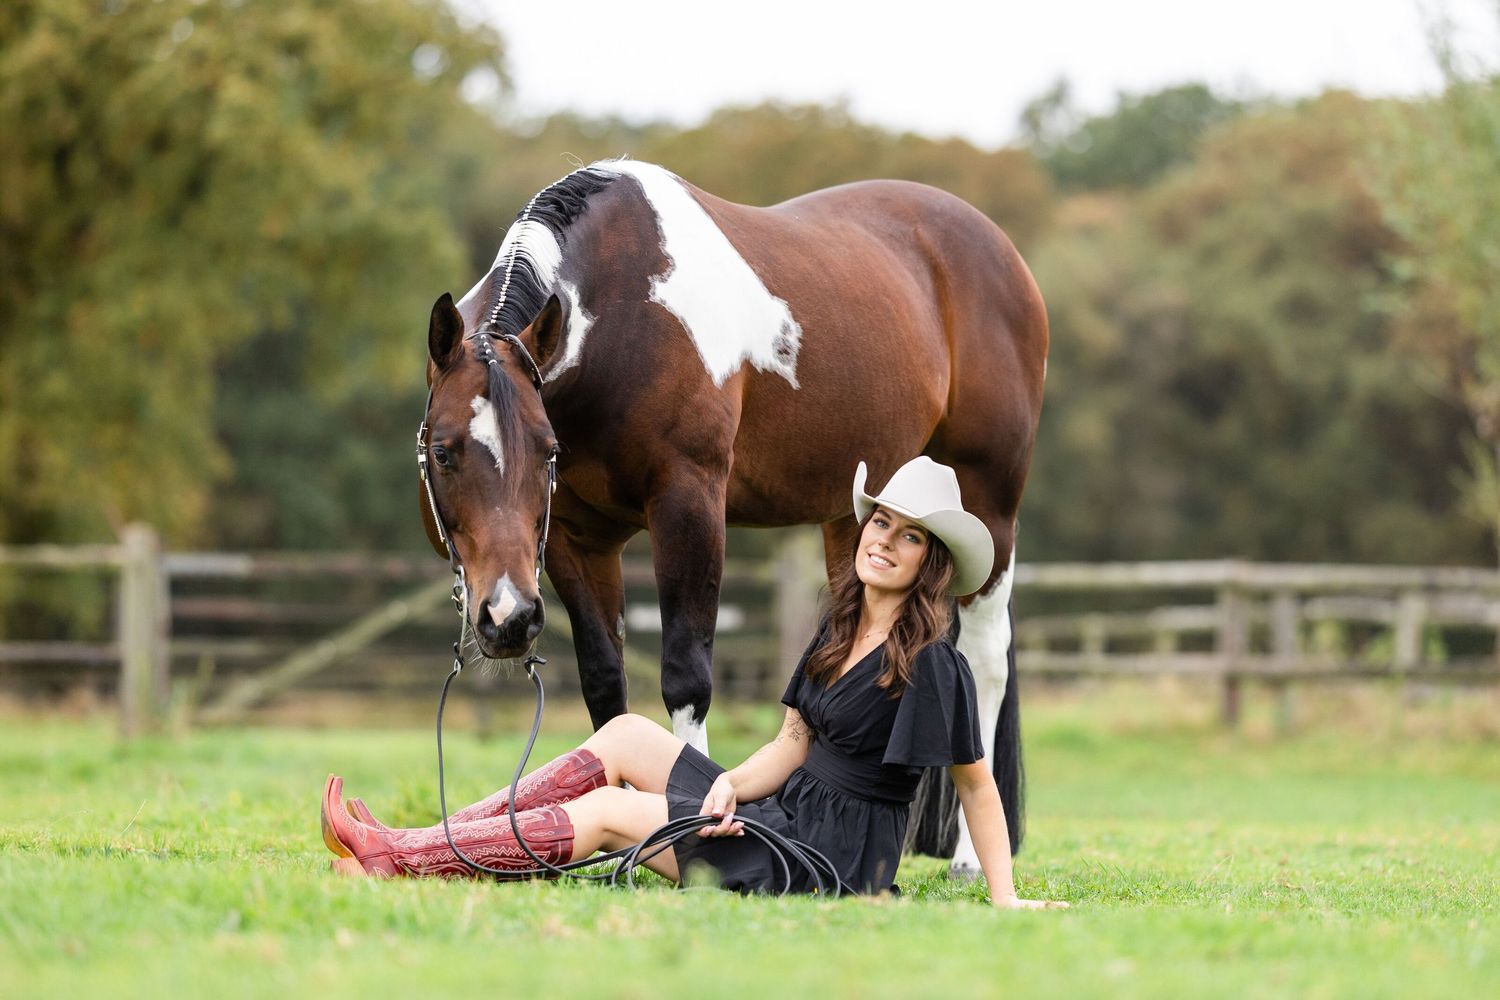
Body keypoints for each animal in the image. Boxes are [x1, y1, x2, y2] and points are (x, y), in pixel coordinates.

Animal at [418, 160, 1047, 868]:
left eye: (545, 449)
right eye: (443, 451)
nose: (509, 618)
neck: (626, 313)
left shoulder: (689, 504)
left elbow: (686, 677)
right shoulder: (577, 542)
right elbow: (607, 688)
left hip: (990, 507)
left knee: (985, 662)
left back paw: (968, 856)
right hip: (860, 516)